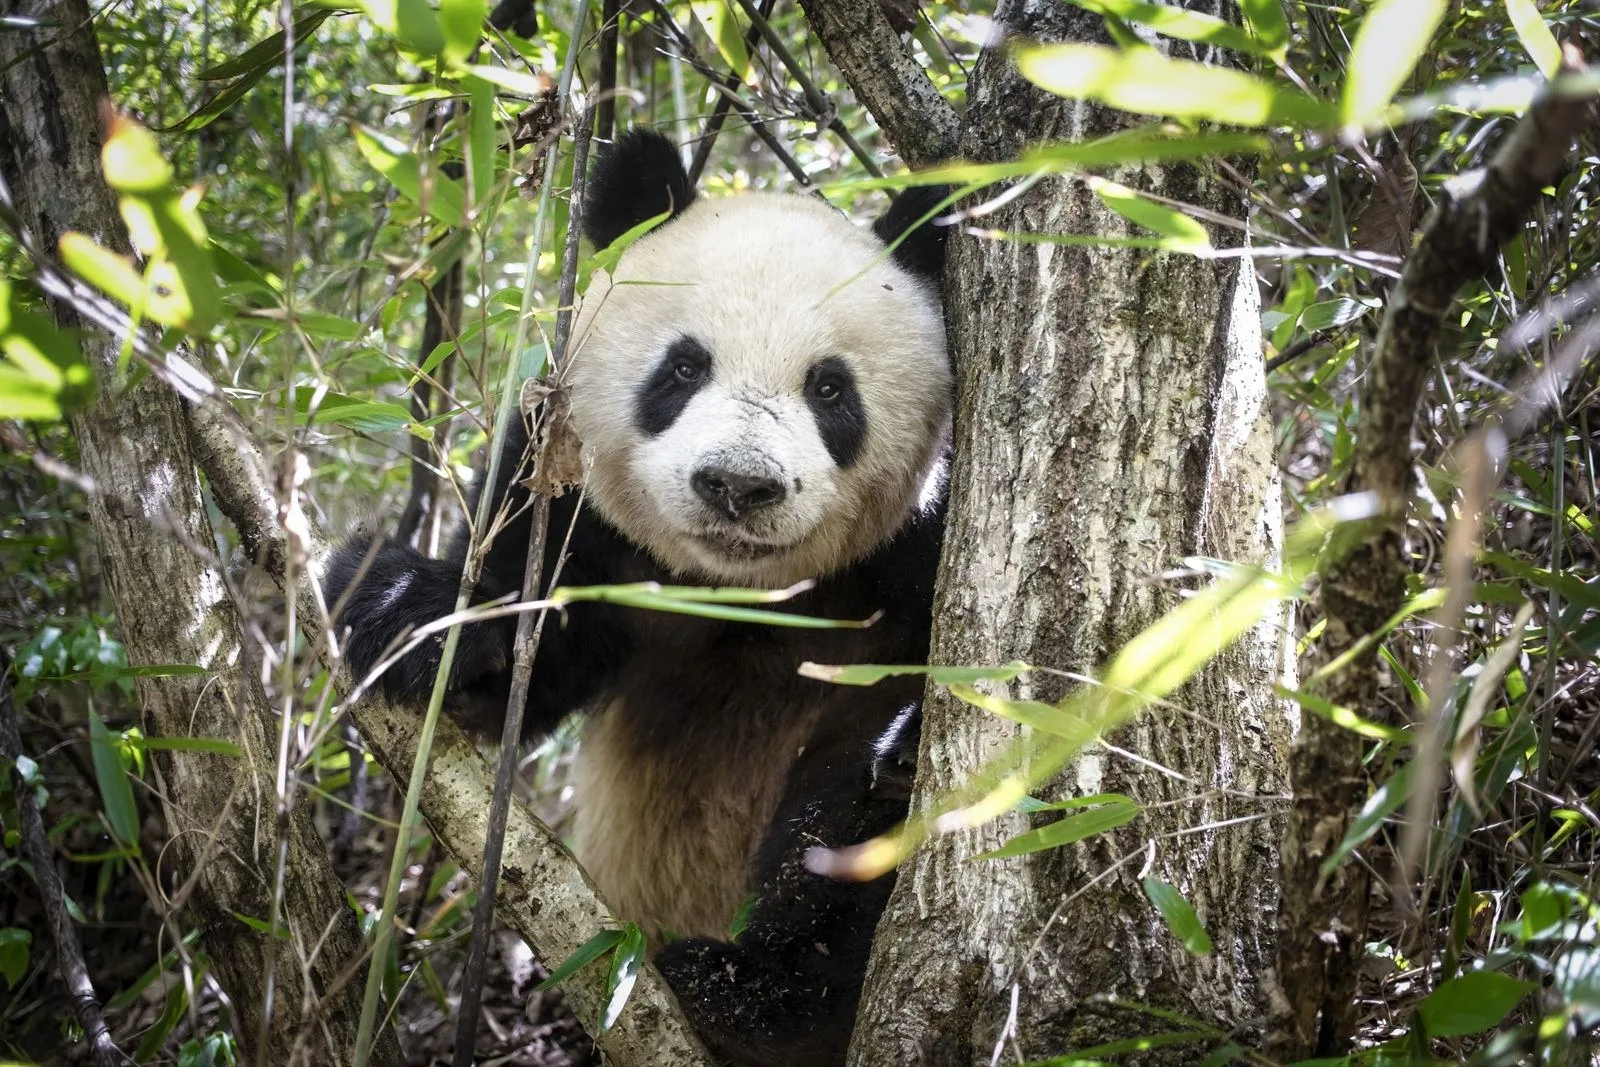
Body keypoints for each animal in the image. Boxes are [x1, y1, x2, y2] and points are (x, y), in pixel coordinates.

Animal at [327, 128, 952, 1065]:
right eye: (683, 366)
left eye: (830, 387)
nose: (738, 484)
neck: (742, 594)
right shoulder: (574, 503)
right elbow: (525, 659)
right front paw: (404, 605)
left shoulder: (923, 543)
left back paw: (745, 991)